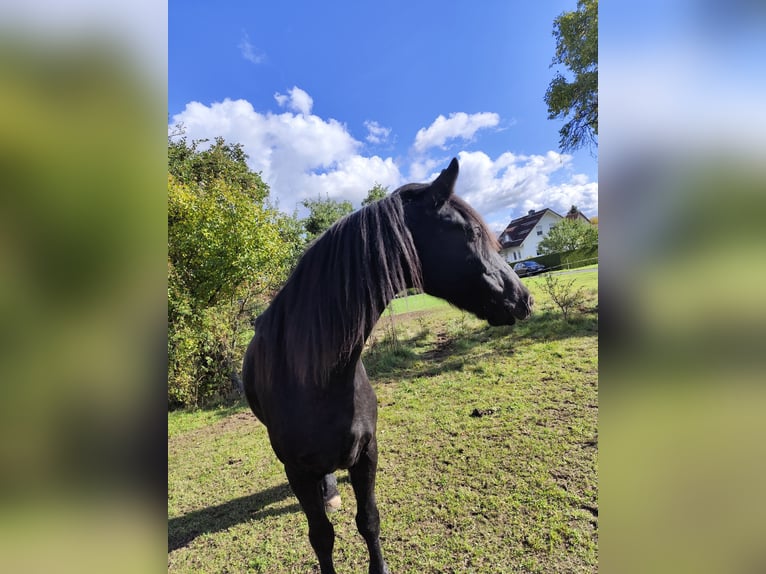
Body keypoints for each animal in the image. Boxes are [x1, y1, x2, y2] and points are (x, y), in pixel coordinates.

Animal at [242, 158, 533, 574]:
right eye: (472, 232)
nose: (523, 298)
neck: (317, 381)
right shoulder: (296, 470)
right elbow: (321, 536)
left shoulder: (366, 452)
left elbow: (369, 521)